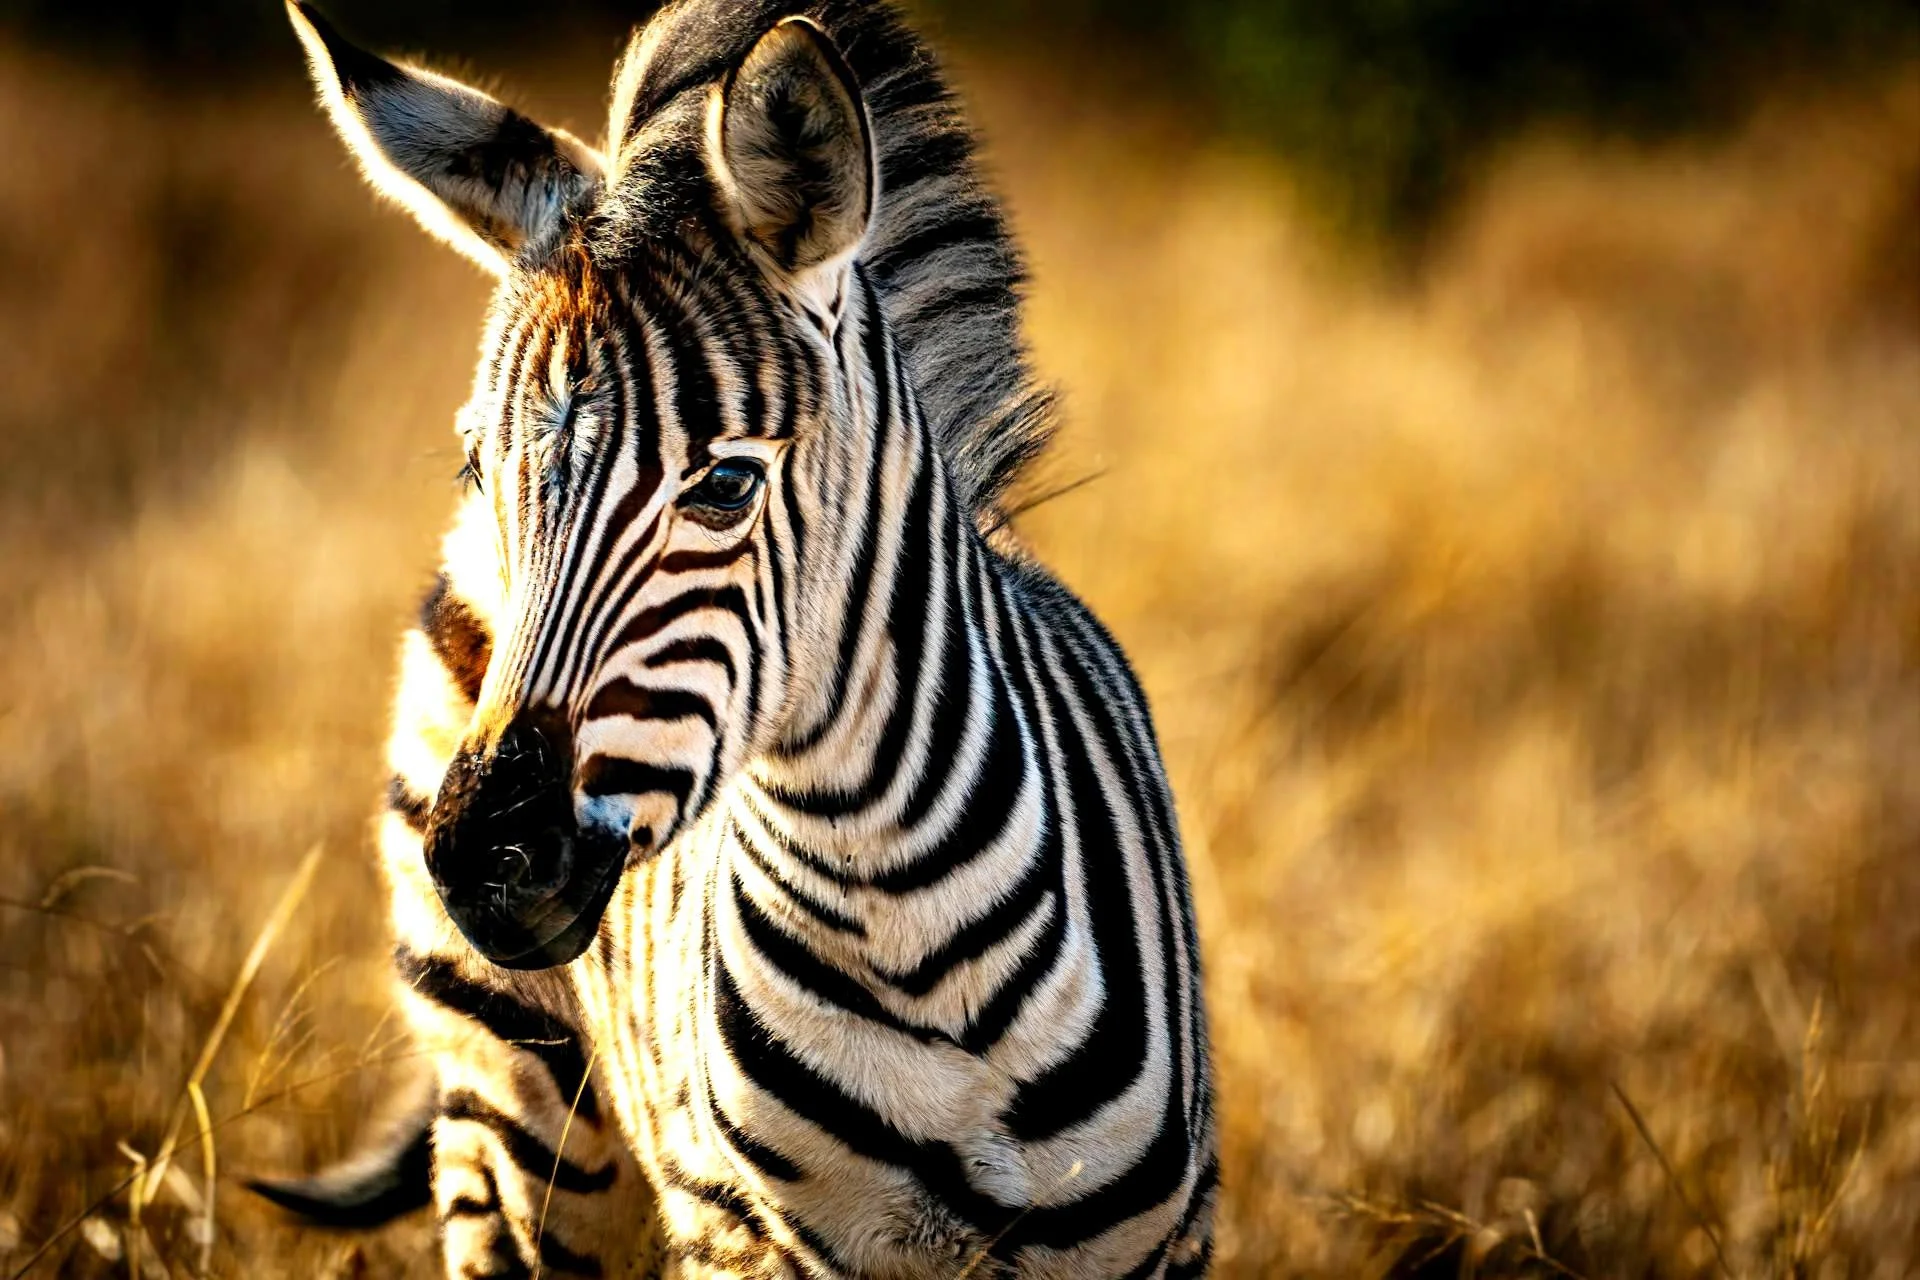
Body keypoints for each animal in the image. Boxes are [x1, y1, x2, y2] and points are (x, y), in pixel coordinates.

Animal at [255, 2, 1217, 1275]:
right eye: (475, 463)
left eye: (722, 485)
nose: (482, 859)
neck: (899, 914)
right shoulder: (771, 1234)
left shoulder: (1152, 1238)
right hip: (508, 1101)